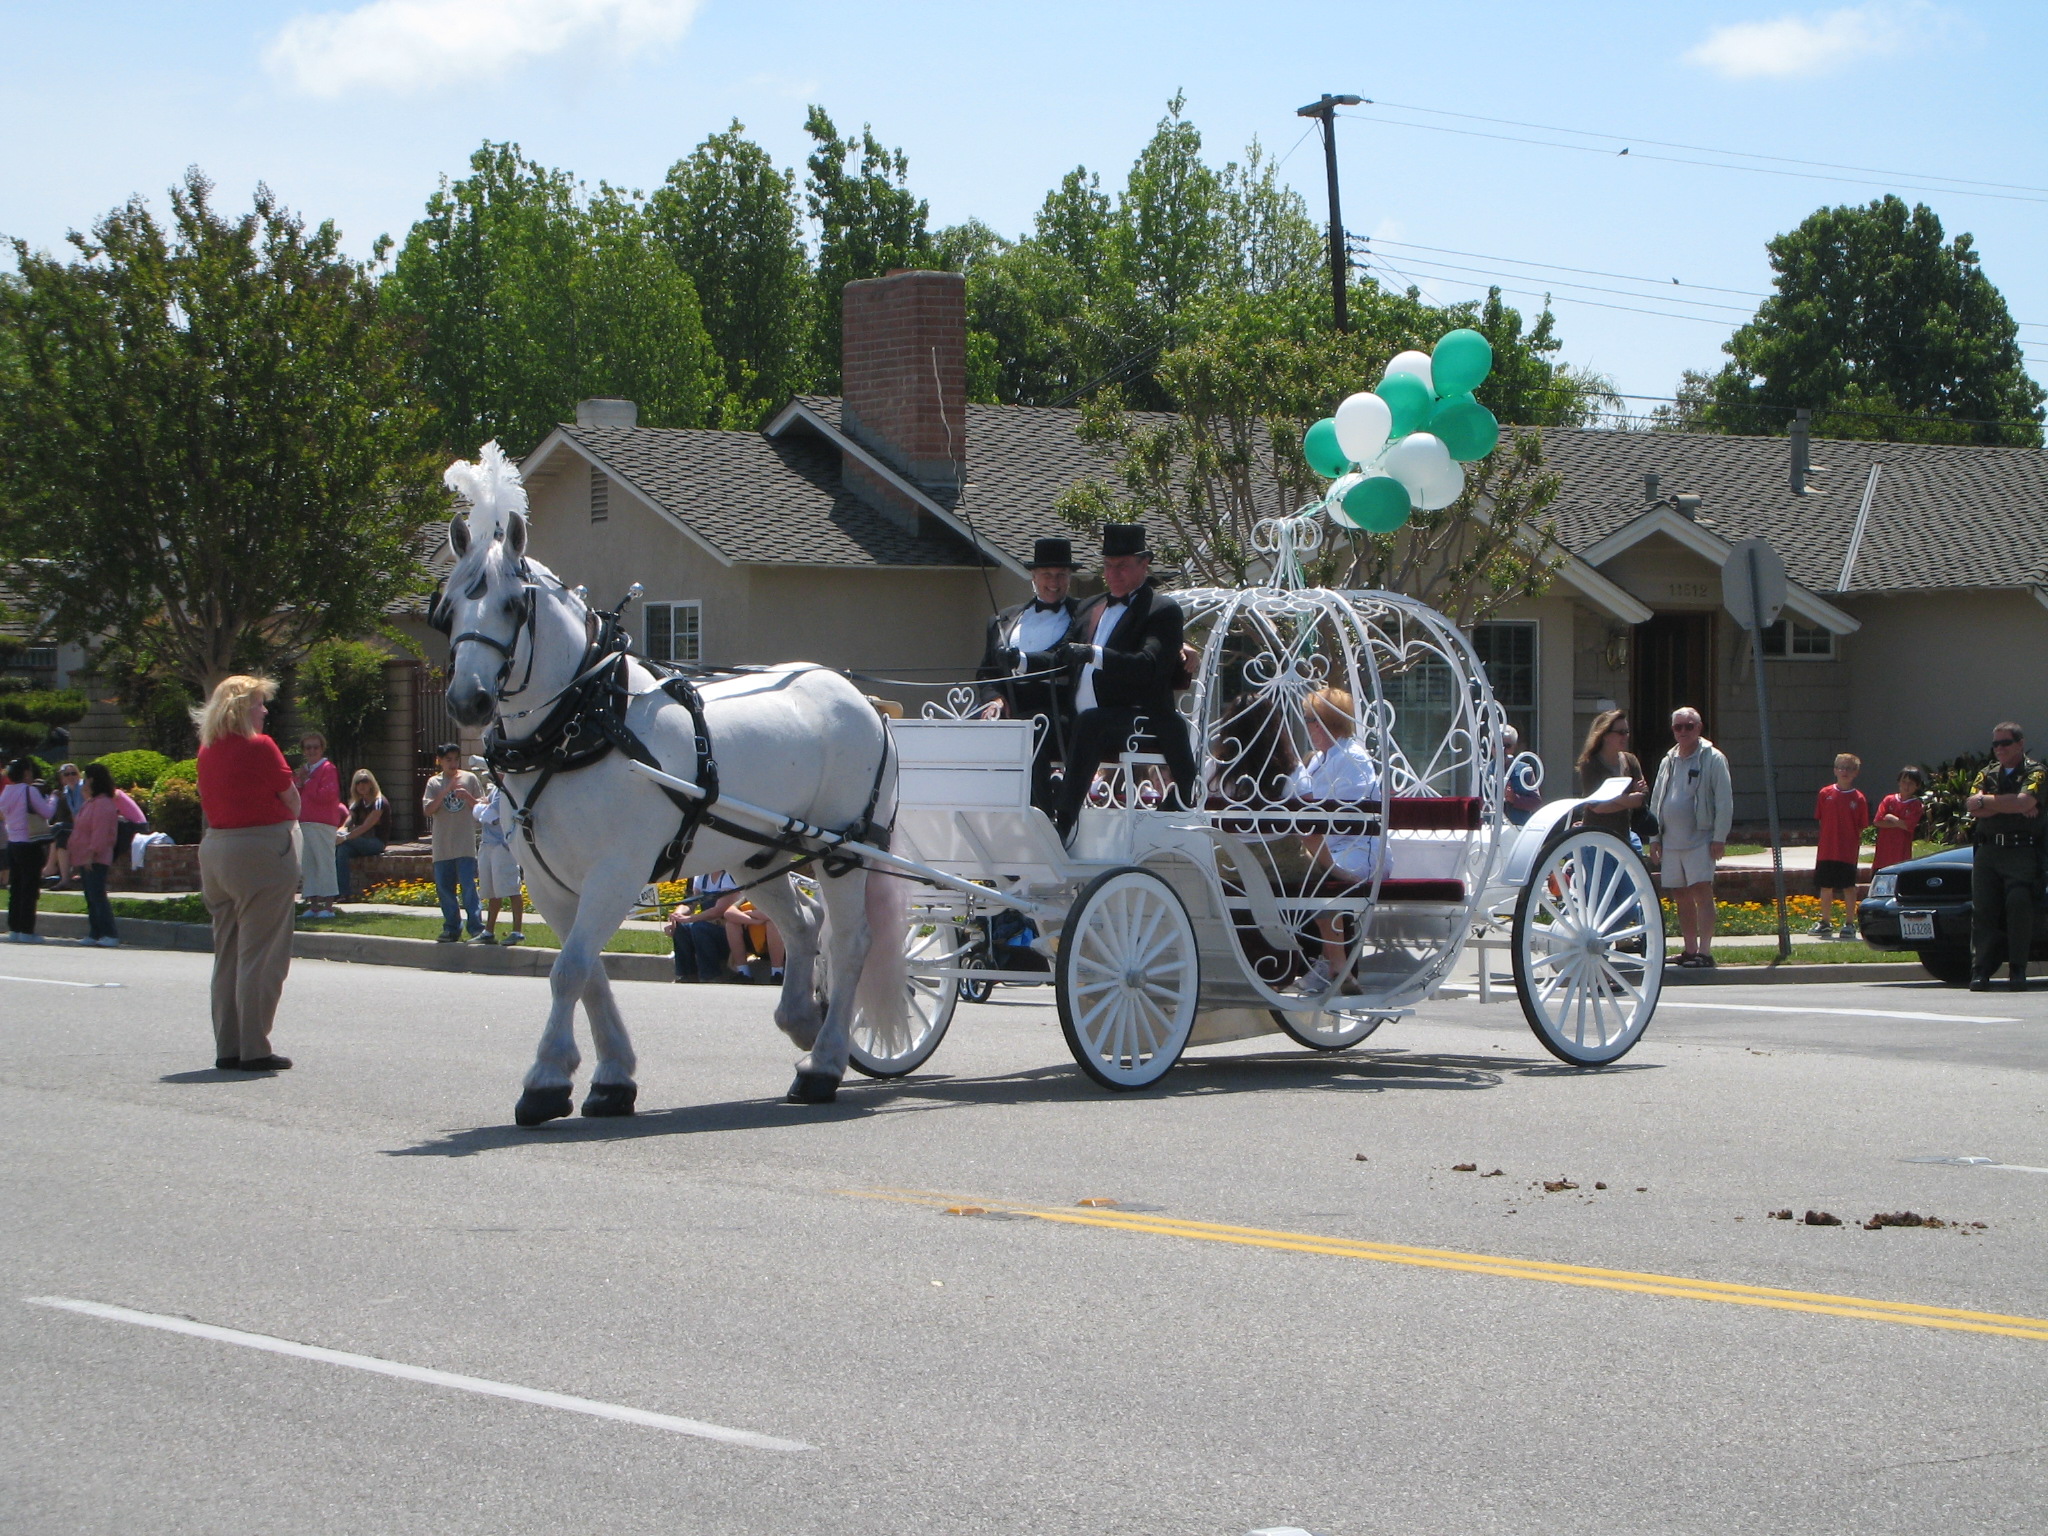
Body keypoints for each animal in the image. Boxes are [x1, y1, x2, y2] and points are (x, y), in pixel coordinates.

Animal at [438, 444, 905, 1130]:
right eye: (447, 608)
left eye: (511, 606)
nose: (467, 701)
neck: (582, 722)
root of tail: (860, 698)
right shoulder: (550, 880)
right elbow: (588, 972)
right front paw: (610, 1078)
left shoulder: (617, 869)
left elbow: (569, 970)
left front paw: (546, 1080)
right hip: (755, 851)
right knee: (803, 927)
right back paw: (805, 1023)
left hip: (841, 849)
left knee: (848, 943)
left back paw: (822, 1067)